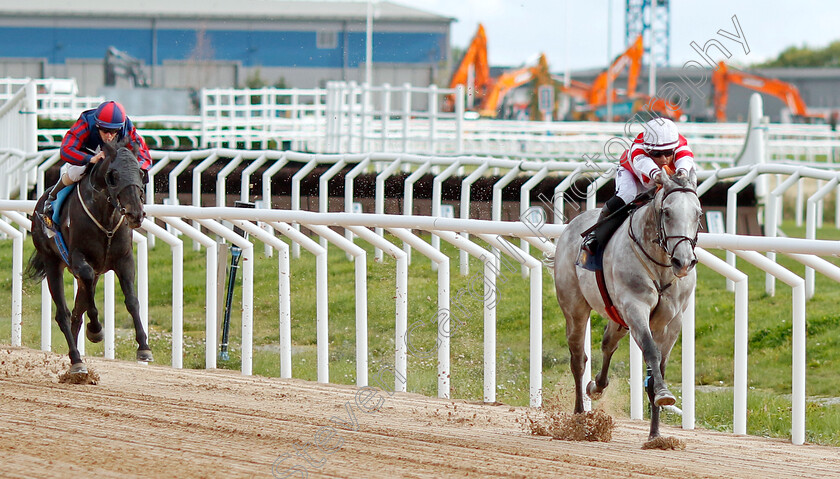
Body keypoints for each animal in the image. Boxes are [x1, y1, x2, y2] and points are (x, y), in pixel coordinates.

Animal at [27, 139, 153, 376]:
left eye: (141, 173)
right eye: (113, 175)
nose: (135, 214)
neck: (106, 217)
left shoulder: (124, 259)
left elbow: (132, 301)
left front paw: (144, 348)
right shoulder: (79, 260)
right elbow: (89, 305)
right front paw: (95, 330)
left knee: (77, 312)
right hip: (52, 261)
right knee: (64, 314)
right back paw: (77, 360)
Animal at [552, 172, 704, 442]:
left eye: (698, 214)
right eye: (667, 212)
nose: (684, 261)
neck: (661, 265)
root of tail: (572, 224)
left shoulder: (672, 320)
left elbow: (658, 367)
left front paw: (655, 434)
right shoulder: (635, 308)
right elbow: (651, 352)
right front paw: (664, 394)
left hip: (617, 317)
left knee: (608, 344)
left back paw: (597, 386)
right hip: (575, 308)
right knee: (578, 358)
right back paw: (579, 417)